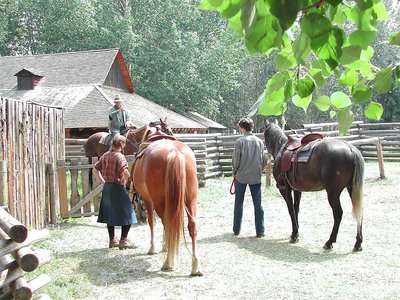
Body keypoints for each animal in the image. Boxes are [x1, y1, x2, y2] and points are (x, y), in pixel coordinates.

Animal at [129, 137, 202, 276]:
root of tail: (175, 153)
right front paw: (165, 246)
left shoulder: (148, 199)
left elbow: (152, 221)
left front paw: (153, 248)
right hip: (191, 200)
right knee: (192, 227)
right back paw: (195, 266)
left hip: (159, 201)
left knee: (168, 224)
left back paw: (168, 263)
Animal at [264, 121, 364, 251]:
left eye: (264, 134)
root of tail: (351, 149)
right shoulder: (297, 189)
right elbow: (296, 209)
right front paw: (295, 232)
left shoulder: (285, 188)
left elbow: (291, 209)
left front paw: (294, 235)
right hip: (351, 188)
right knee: (359, 211)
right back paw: (358, 243)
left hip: (333, 193)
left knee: (338, 213)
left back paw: (329, 242)